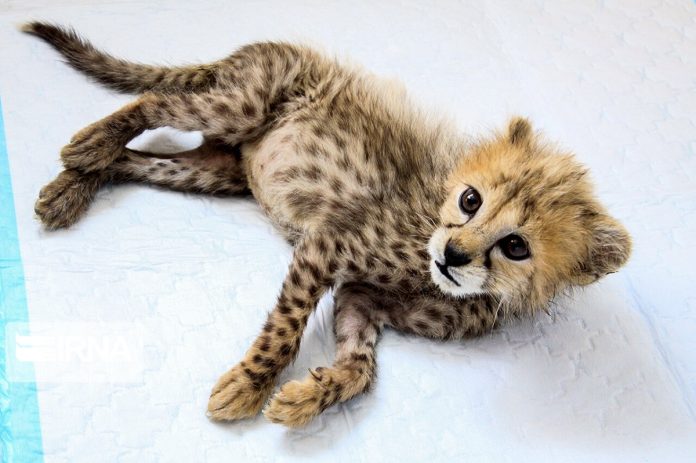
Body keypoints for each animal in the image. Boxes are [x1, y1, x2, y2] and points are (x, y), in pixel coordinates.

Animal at [23, 22, 631, 427]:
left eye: (516, 246)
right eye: (470, 199)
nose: (454, 254)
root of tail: (265, 45)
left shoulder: (359, 299)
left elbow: (362, 367)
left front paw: (307, 397)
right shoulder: (330, 245)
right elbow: (287, 328)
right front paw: (250, 384)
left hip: (215, 172)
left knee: (137, 161)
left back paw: (70, 186)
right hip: (240, 104)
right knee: (155, 99)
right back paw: (88, 144)